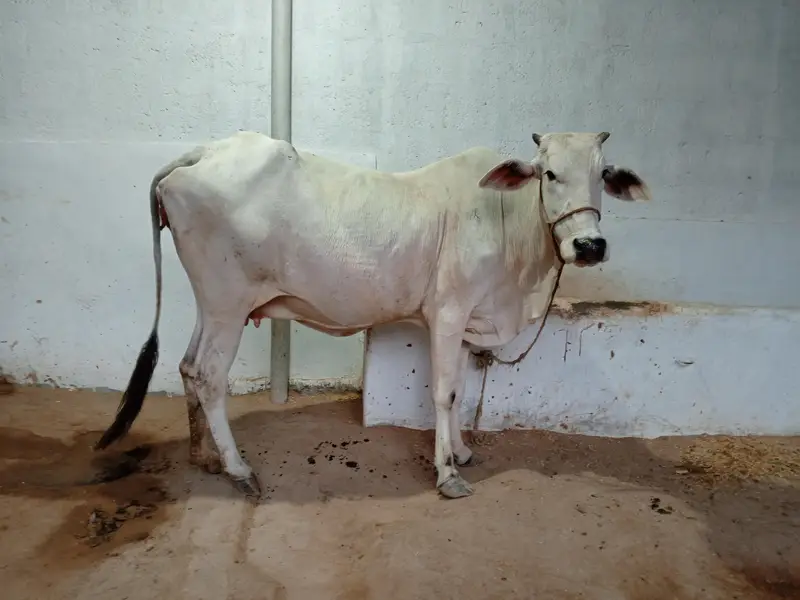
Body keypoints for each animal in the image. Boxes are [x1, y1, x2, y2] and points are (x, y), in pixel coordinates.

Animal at [94, 130, 650, 500]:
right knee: (209, 376)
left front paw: (461, 452)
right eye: (549, 173)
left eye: (603, 174)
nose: (589, 246)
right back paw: (238, 470)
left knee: (188, 366)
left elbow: (460, 388)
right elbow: (444, 393)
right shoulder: (448, 312)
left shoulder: (467, 322)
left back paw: (203, 456)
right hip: (228, 304)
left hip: (210, 305)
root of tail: (204, 151)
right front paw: (449, 474)